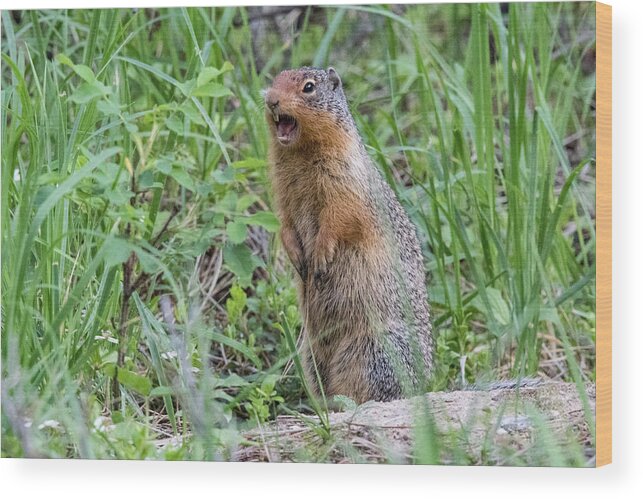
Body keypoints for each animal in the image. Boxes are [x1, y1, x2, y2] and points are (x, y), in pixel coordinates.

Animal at [264, 66, 436, 404]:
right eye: (275, 79)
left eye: (308, 87)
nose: (271, 99)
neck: (300, 155)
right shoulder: (283, 193)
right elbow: (285, 223)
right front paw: (297, 257)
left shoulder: (345, 181)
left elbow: (339, 218)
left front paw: (320, 256)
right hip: (312, 354)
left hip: (373, 351)